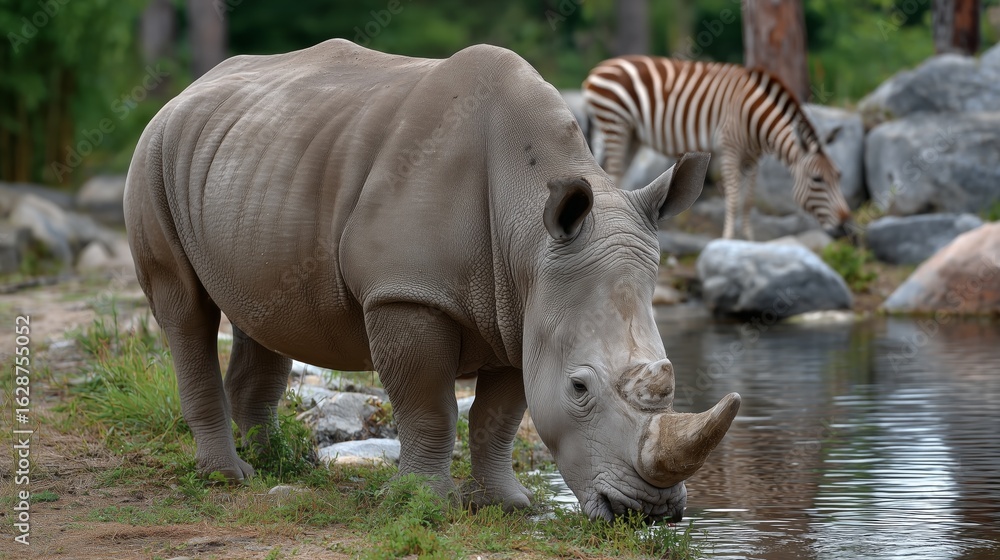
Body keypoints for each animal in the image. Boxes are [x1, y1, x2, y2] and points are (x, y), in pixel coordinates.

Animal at [124, 39, 740, 521]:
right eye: (580, 388)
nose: (649, 512)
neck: (529, 234)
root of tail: (186, 92)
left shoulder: (521, 312)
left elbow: (499, 416)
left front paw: (506, 505)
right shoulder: (407, 293)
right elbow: (430, 406)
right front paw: (424, 503)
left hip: (251, 161)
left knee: (264, 314)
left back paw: (278, 466)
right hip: (153, 154)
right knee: (185, 310)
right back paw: (228, 478)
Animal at [583, 56, 851, 240]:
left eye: (839, 176)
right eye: (817, 180)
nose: (845, 226)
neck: (754, 116)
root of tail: (598, 69)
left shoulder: (753, 157)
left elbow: (748, 200)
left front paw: (749, 240)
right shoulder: (730, 148)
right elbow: (732, 197)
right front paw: (728, 239)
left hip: (631, 133)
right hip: (615, 123)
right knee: (613, 173)